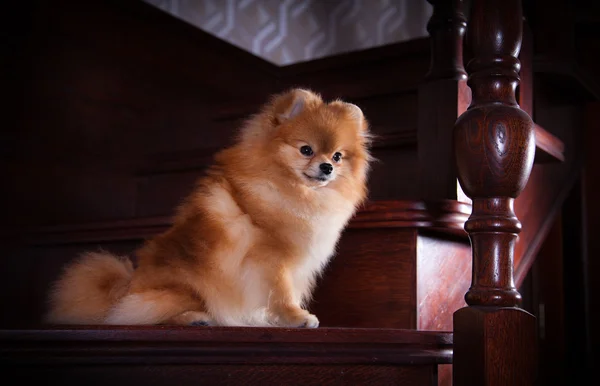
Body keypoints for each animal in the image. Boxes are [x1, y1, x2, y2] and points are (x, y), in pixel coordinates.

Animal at [47, 89, 372, 328]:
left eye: (338, 156)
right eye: (306, 150)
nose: (327, 167)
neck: (291, 188)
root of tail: (124, 288)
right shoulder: (270, 258)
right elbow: (280, 293)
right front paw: (295, 318)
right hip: (184, 288)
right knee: (143, 315)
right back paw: (196, 319)